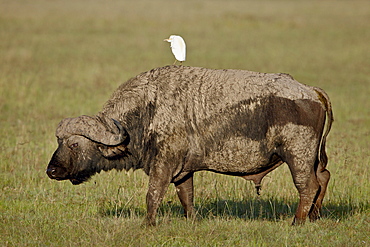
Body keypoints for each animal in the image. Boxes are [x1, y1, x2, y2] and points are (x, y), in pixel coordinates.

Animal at [46, 65, 332, 226]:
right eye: (59, 142)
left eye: (74, 144)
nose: (51, 171)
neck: (148, 109)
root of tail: (311, 92)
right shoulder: (183, 172)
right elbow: (187, 197)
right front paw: (191, 220)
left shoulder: (163, 165)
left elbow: (152, 195)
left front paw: (148, 224)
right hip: (313, 159)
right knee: (323, 178)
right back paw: (314, 217)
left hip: (297, 156)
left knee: (308, 186)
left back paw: (297, 221)